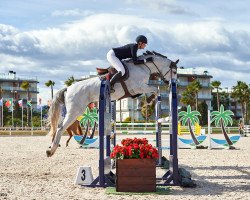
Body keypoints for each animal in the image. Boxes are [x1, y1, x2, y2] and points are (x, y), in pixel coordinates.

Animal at [45, 50, 178, 156]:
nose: (171, 83)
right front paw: (150, 101)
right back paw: (51, 150)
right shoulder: (140, 87)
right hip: (75, 111)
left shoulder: (139, 90)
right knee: (60, 127)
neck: (144, 66)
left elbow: (154, 90)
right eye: (175, 72)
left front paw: (150, 101)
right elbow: (155, 89)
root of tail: (68, 88)